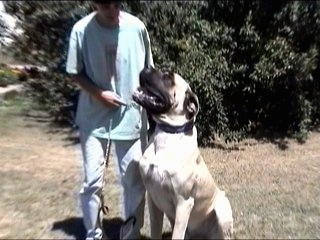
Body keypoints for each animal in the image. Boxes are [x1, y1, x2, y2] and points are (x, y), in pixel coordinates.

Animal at [131, 67, 234, 238]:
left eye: (169, 77)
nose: (146, 68)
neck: (167, 134)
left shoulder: (183, 203)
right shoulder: (153, 198)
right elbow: (155, 232)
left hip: (222, 208)